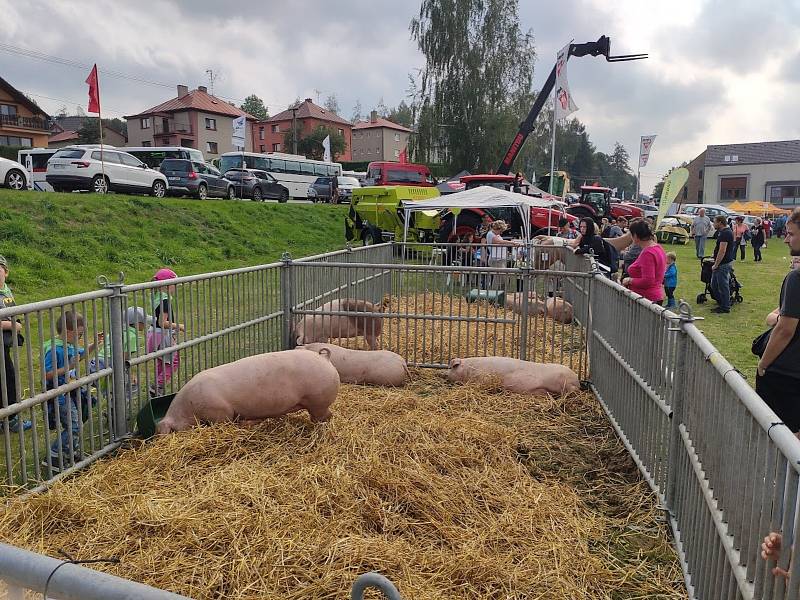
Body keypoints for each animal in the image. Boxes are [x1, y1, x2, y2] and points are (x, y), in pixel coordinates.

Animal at [157, 350, 340, 434]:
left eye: (172, 430)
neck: (188, 407)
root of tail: (325, 358)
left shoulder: (220, 412)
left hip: (318, 401)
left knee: (324, 416)